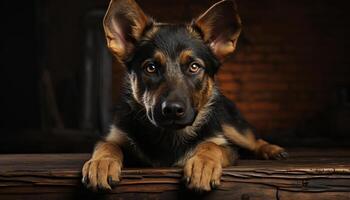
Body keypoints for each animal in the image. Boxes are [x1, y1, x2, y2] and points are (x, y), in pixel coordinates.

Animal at [81, 0, 288, 192]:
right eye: (151, 68)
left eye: (194, 67)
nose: (172, 110)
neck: (169, 136)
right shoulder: (114, 136)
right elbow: (108, 146)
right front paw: (101, 163)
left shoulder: (227, 147)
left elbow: (211, 145)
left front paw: (203, 164)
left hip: (231, 126)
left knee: (252, 139)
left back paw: (272, 149)